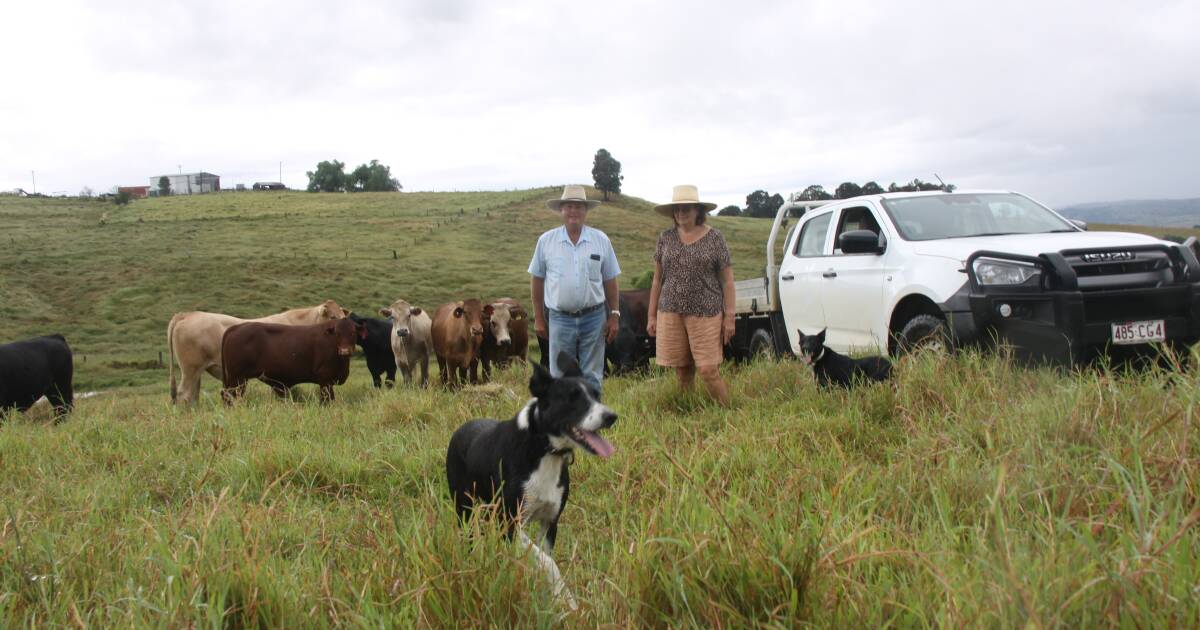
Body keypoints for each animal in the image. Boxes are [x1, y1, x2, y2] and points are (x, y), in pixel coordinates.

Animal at [219, 319, 360, 403]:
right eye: (337, 333)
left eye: (353, 333)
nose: (345, 351)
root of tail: (237, 327)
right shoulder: (325, 380)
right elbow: (327, 401)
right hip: (237, 379)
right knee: (230, 396)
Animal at [448, 350, 619, 607]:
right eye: (572, 398)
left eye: (597, 395)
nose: (611, 416)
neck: (544, 449)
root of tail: (461, 429)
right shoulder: (511, 523)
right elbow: (548, 564)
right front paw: (567, 598)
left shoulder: (550, 521)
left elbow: (545, 558)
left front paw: (551, 598)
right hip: (464, 507)